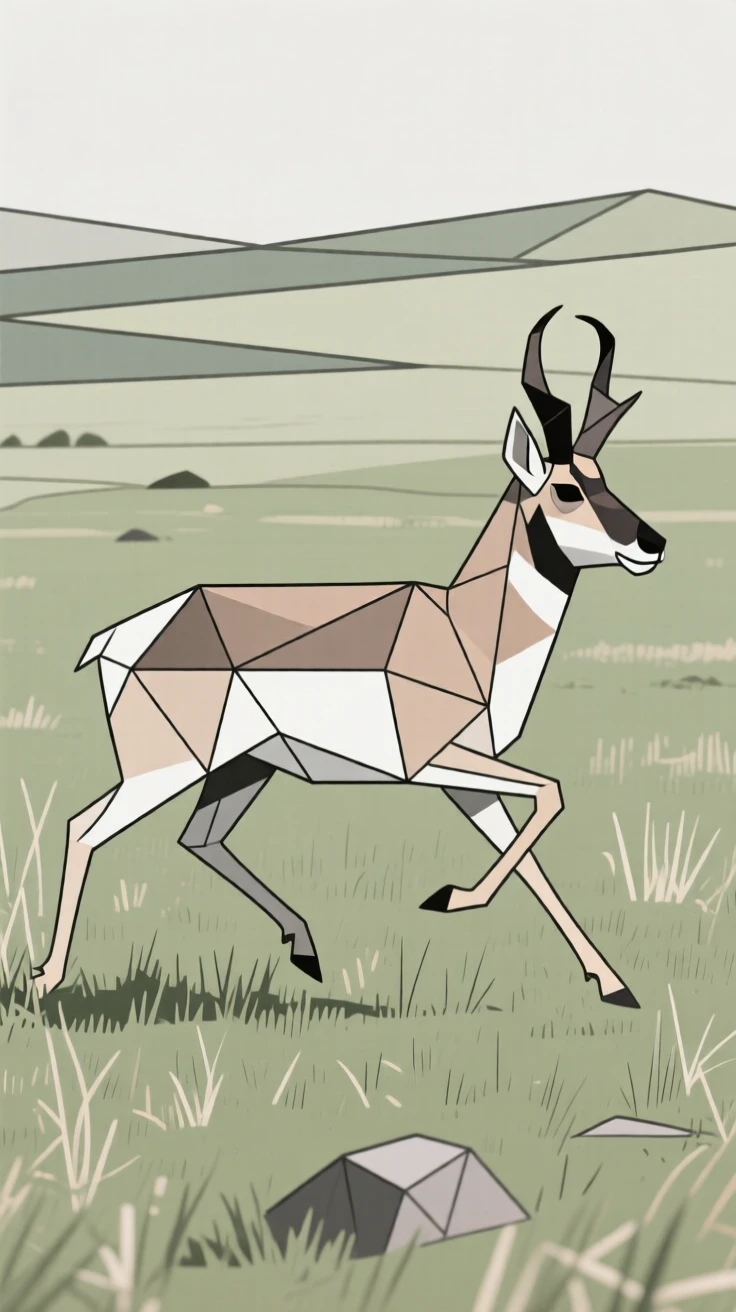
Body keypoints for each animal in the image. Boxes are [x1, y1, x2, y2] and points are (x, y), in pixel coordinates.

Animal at [35, 307, 665, 1007]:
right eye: (566, 490)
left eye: (605, 478)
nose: (653, 543)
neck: (466, 635)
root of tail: (120, 636)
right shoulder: (439, 764)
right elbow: (551, 795)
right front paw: (447, 898)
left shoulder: (466, 778)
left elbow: (533, 859)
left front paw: (615, 984)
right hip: (162, 770)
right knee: (83, 828)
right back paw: (46, 978)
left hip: (241, 769)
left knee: (198, 837)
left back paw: (305, 949)